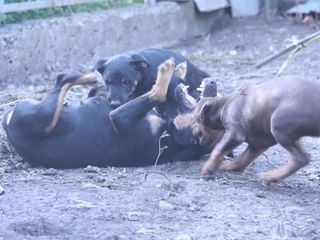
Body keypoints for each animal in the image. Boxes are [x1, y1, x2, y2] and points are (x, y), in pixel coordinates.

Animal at [3, 59, 212, 169]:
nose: (213, 84)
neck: (170, 133)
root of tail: (8, 123)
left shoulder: (119, 118)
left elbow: (158, 93)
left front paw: (168, 71)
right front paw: (178, 71)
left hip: (43, 118)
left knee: (62, 81)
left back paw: (90, 78)